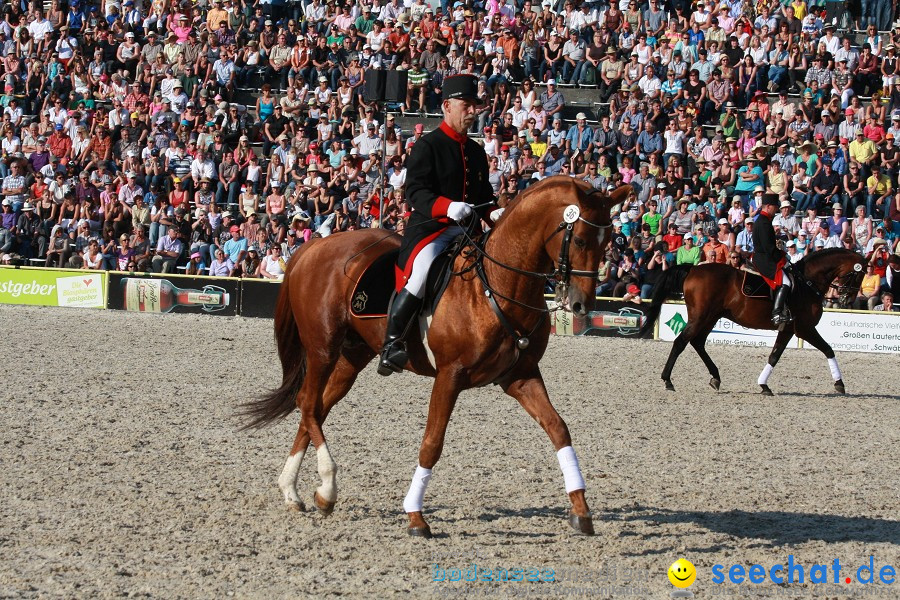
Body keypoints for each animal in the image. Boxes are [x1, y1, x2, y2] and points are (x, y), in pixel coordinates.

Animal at [243, 177, 628, 536]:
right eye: (580, 240)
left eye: (608, 240)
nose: (581, 305)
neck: (495, 285)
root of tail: (314, 246)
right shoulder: (450, 375)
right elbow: (432, 443)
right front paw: (415, 516)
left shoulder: (521, 376)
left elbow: (558, 429)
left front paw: (581, 510)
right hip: (323, 347)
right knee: (308, 403)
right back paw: (326, 485)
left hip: (352, 356)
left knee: (317, 408)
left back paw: (296, 491)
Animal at [640, 247, 864, 394]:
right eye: (858, 275)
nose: (847, 299)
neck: (807, 282)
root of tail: (694, 269)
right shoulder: (805, 329)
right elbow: (828, 349)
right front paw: (840, 384)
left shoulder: (788, 329)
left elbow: (774, 356)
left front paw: (764, 385)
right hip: (701, 316)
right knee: (681, 342)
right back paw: (668, 380)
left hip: (711, 317)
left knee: (697, 342)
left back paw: (715, 377)